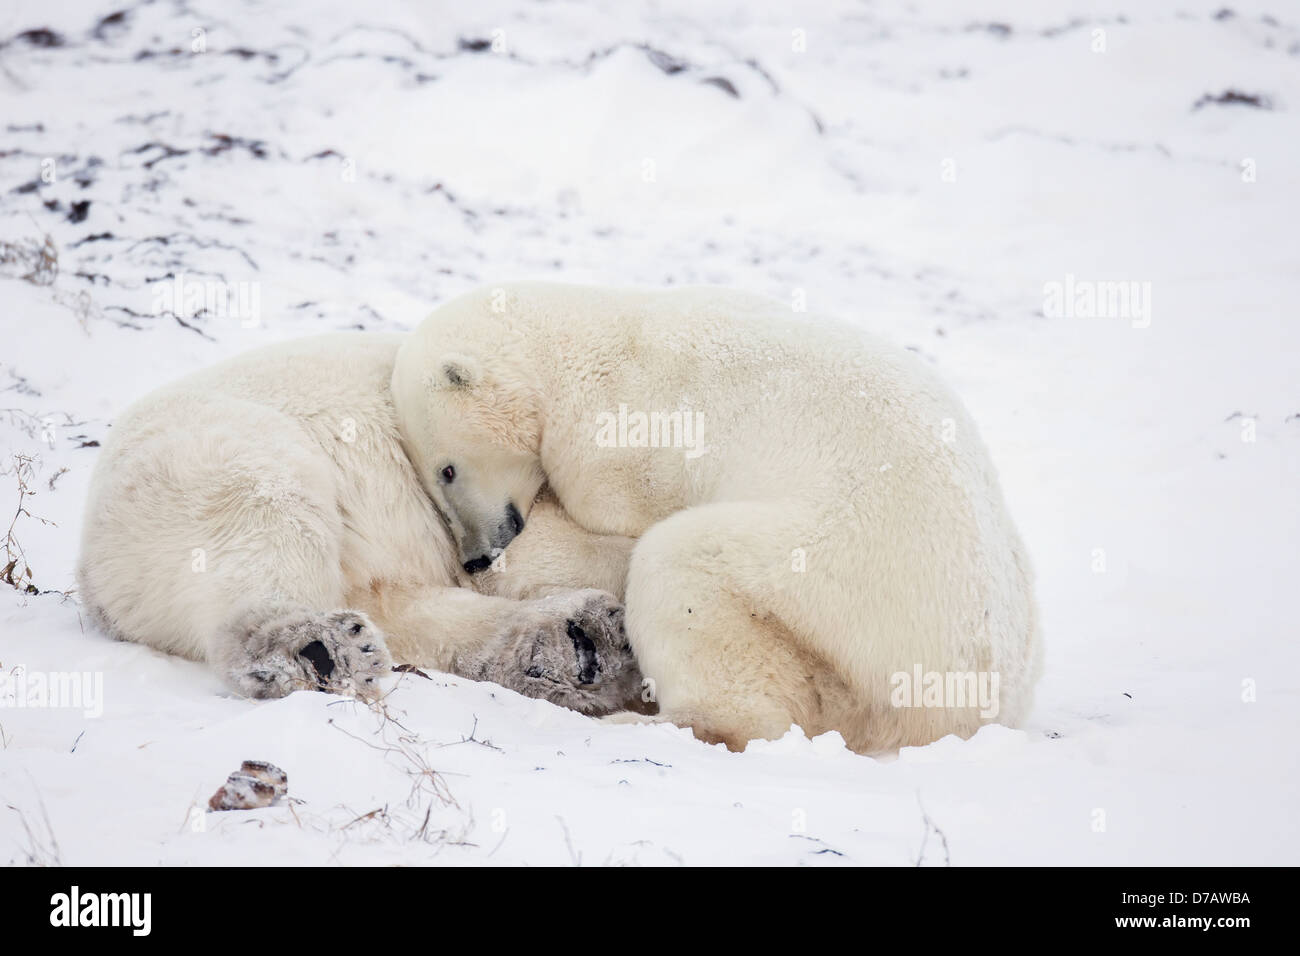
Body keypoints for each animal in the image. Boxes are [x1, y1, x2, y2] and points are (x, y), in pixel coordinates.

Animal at [74, 332, 639, 712]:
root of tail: (93, 574)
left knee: (407, 608)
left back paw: (574, 644)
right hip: (212, 457)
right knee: (267, 518)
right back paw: (316, 649)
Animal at [390, 282, 1040, 754]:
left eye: (447, 469)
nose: (477, 555)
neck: (580, 344)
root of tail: (959, 704)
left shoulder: (619, 443)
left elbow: (614, 522)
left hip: (828, 583)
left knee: (686, 571)